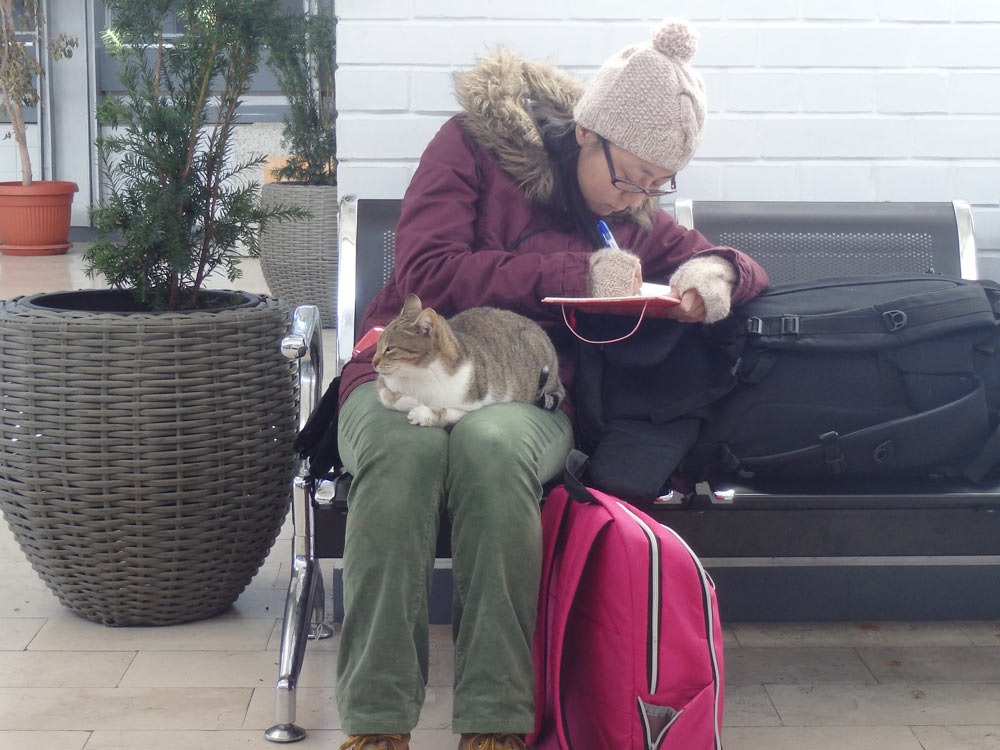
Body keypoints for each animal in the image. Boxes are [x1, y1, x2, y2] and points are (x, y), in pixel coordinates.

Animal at [374, 294, 568, 428]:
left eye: (389, 349)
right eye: (377, 345)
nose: (373, 363)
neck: (418, 374)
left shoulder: (472, 405)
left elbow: (446, 413)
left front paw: (422, 412)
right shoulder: (382, 382)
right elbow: (388, 396)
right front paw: (410, 401)